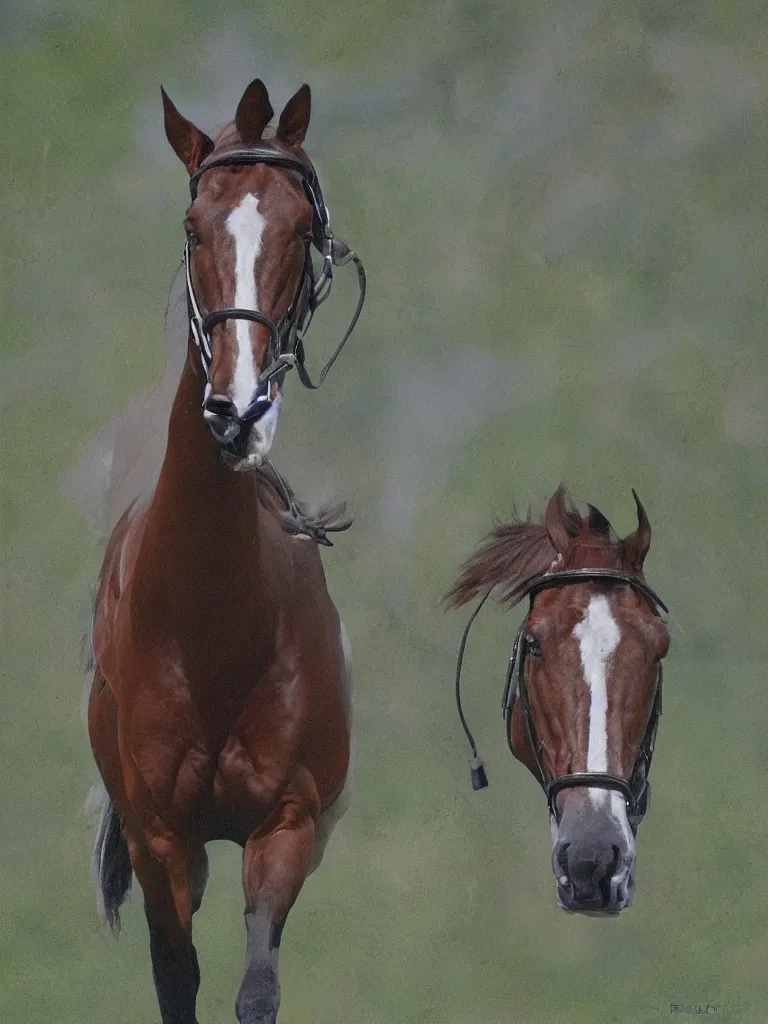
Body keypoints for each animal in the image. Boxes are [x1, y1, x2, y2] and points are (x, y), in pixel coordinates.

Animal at [87, 81, 364, 1024]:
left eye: (299, 227)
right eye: (194, 223)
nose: (237, 409)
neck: (209, 617)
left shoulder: (284, 826)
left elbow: (256, 991)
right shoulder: (161, 838)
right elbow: (179, 983)